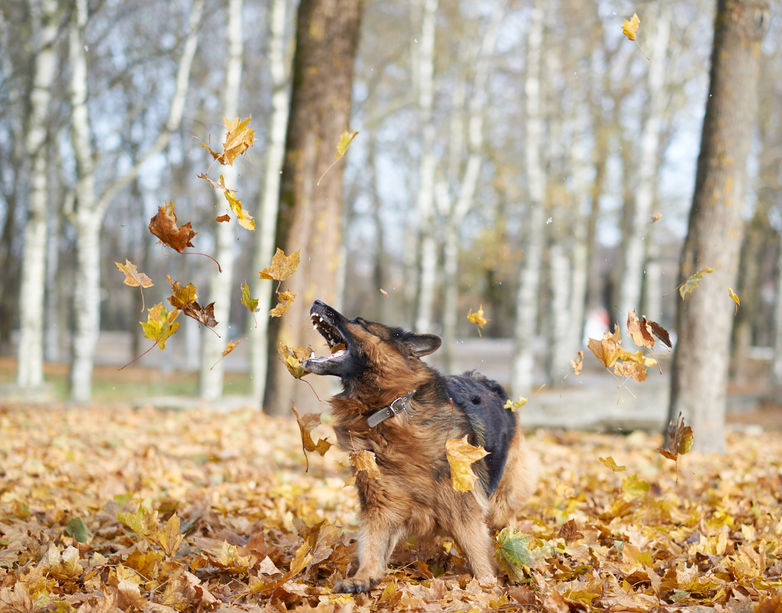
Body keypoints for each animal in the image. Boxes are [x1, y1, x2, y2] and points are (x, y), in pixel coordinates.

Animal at [304, 298, 540, 592]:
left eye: (360, 322)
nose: (317, 301)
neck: (388, 410)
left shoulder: (463, 509)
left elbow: (478, 557)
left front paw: (488, 588)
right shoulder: (380, 503)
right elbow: (372, 545)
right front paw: (363, 576)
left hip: (500, 501)